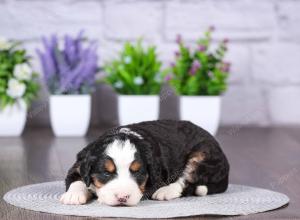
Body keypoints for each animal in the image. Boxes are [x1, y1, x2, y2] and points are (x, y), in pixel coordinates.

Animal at [60, 119, 230, 205]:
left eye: (138, 172)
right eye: (106, 173)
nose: (122, 197)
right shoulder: (79, 164)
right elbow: (76, 179)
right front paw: (73, 196)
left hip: (203, 155)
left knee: (186, 179)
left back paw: (165, 192)